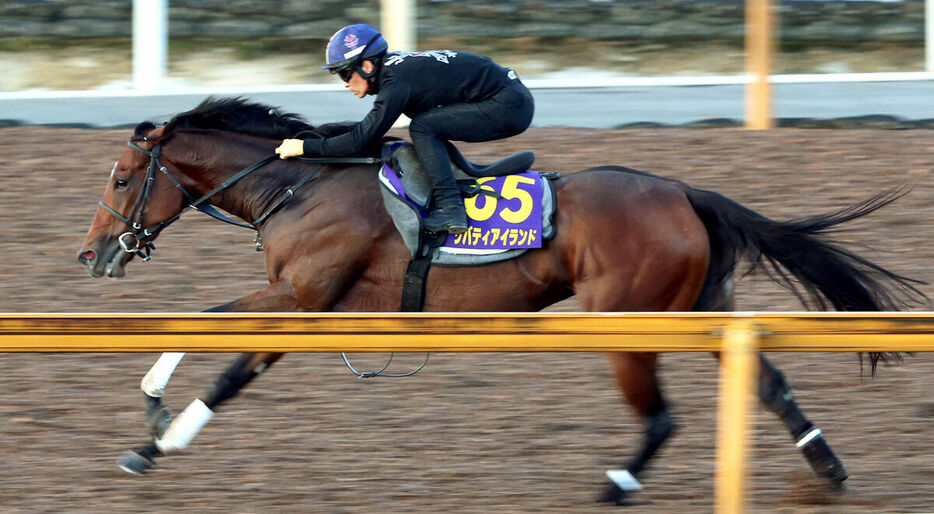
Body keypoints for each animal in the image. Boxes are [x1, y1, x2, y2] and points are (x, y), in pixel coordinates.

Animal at [80, 97, 928, 504]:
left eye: (120, 177)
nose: (91, 255)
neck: (300, 185)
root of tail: (683, 190)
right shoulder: (308, 304)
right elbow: (226, 347)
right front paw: (153, 420)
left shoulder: (303, 296)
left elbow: (223, 349)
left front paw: (157, 433)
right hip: (695, 305)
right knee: (768, 381)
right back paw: (826, 471)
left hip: (623, 320)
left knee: (662, 416)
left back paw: (615, 489)